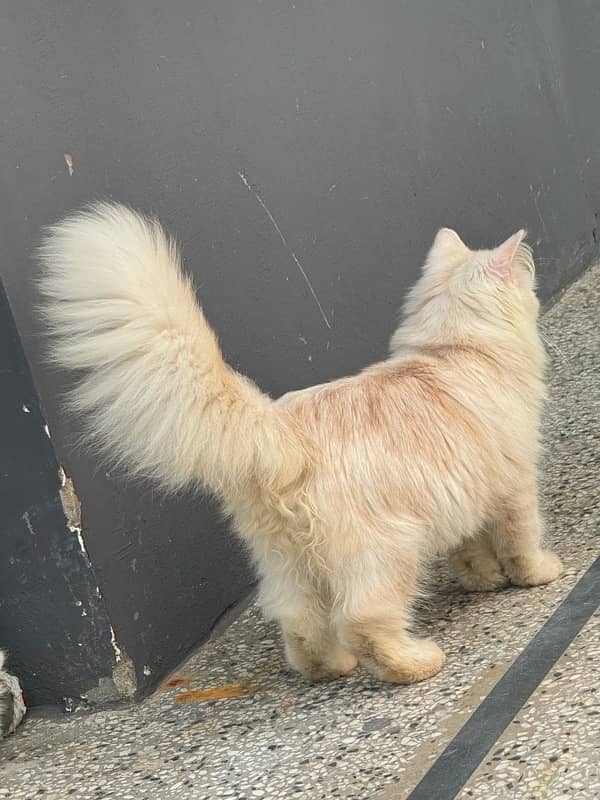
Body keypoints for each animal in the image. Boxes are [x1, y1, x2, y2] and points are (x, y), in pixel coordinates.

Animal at [38, 203, 564, 684]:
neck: (451, 351)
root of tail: (279, 425)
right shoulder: (515, 483)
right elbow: (520, 540)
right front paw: (533, 574)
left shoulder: (463, 493)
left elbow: (469, 547)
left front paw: (481, 579)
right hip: (385, 552)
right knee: (364, 621)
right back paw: (414, 664)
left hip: (287, 563)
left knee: (300, 624)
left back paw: (330, 668)